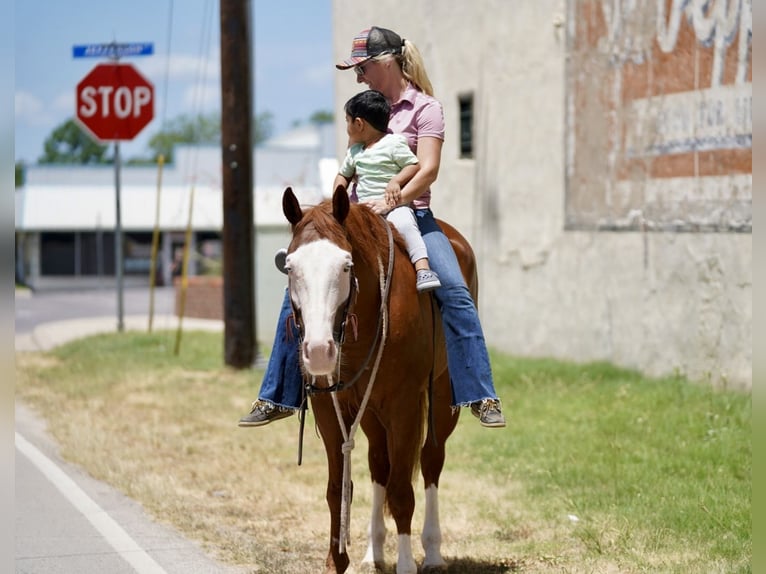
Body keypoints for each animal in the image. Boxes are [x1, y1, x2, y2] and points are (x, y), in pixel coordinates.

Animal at [282, 187, 480, 572]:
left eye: (345, 266)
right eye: (291, 267)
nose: (319, 351)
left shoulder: (404, 407)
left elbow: (402, 492)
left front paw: (405, 564)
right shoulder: (329, 407)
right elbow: (338, 489)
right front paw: (336, 561)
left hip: (440, 398)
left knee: (430, 461)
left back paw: (432, 552)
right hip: (372, 413)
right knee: (379, 465)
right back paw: (374, 550)